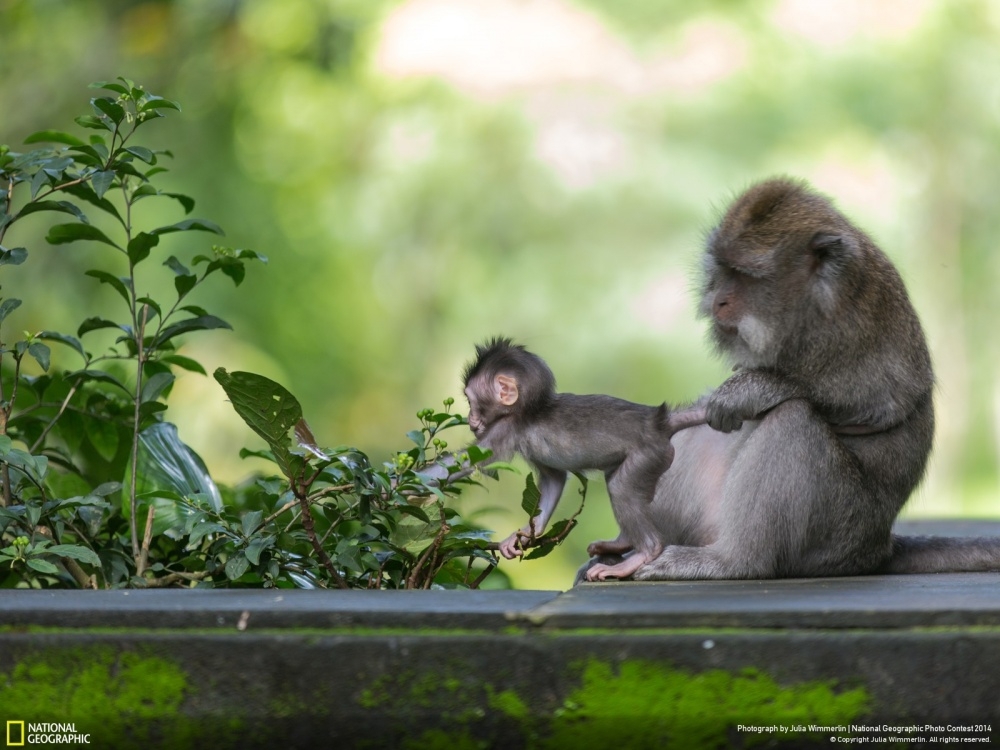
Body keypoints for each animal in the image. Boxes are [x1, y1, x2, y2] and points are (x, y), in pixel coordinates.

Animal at [460, 340, 704, 580]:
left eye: (470, 401)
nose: (469, 419)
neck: (531, 409)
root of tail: (659, 422)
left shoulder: (505, 428)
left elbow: (466, 463)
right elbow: (554, 479)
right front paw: (528, 533)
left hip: (647, 455)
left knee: (621, 487)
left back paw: (642, 554)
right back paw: (622, 542)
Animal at [588, 179, 1000, 584]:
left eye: (746, 277)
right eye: (722, 270)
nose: (718, 300)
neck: (811, 306)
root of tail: (877, 546)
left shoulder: (852, 330)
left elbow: (879, 406)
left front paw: (752, 390)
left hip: (838, 532)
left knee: (793, 420)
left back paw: (733, 561)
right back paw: (634, 545)